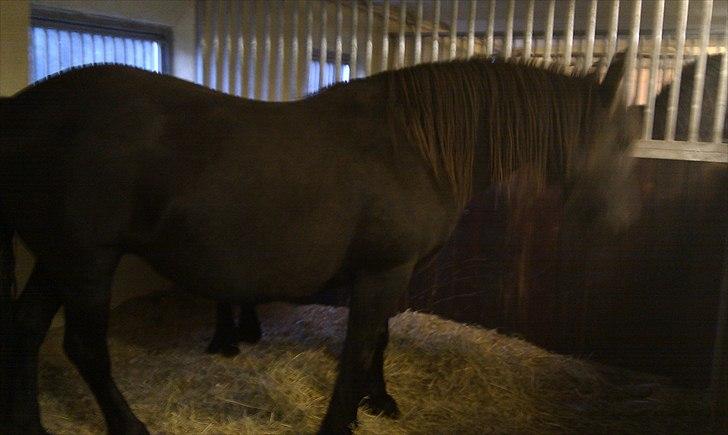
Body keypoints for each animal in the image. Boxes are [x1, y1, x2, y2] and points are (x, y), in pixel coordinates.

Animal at [0, 57, 640, 434]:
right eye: (618, 143)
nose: (620, 222)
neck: (413, 149)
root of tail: (22, 109)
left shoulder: (392, 272)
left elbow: (378, 339)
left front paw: (377, 403)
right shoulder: (383, 270)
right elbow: (358, 348)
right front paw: (341, 421)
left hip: (58, 260)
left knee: (27, 330)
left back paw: (29, 425)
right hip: (86, 260)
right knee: (85, 348)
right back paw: (131, 427)